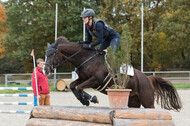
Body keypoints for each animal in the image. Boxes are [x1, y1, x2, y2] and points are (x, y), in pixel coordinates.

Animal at [43, 35, 182, 111]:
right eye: (45, 54)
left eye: (52, 54)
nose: (45, 70)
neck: (85, 58)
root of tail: (148, 79)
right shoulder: (83, 78)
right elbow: (73, 86)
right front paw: (84, 101)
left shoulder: (96, 80)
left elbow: (80, 87)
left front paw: (91, 99)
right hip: (133, 101)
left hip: (147, 101)